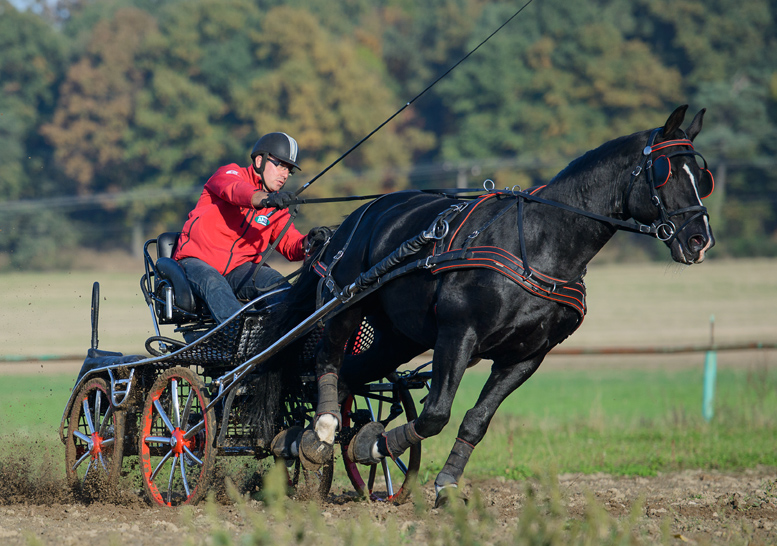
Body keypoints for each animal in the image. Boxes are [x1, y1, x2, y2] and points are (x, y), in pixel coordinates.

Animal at [264, 104, 712, 504]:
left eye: (701, 177)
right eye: (666, 171)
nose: (699, 239)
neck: (539, 245)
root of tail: (355, 217)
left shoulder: (526, 356)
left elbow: (476, 421)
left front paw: (444, 483)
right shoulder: (458, 334)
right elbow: (436, 413)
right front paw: (373, 446)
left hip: (398, 337)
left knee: (348, 378)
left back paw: (302, 439)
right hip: (346, 305)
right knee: (325, 363)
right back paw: (320, 431)